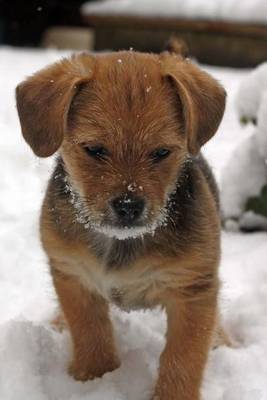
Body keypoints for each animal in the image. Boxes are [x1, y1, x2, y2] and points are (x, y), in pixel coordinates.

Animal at [16, 47, 226, 400]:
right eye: (94, 149)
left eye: (161, 152)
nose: (129, 206)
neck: (121, 242)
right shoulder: (73, 276)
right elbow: (90, 334)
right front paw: (94, 380)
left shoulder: (193, 288)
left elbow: (184, 355)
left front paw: (173, 394)